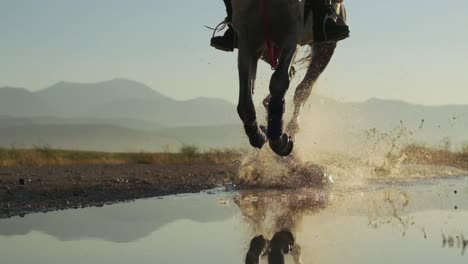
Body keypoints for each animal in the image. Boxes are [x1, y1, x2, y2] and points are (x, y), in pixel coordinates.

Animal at [231, 0, 346, 156]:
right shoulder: (247, 41)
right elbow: (245, 101)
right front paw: (258, 134)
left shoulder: (291, 37)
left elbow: (279, 83)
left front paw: (279, 140)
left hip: (325, 47)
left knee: (303, 89)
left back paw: (291, 127)